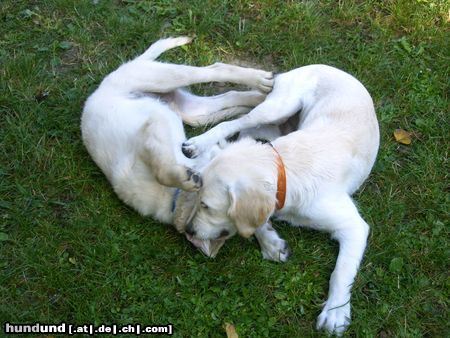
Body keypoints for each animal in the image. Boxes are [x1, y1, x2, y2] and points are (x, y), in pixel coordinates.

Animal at [80, 37, 274, 254]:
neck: (174, 199)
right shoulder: (155, 127)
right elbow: (162, 171)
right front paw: (186, 178)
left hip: (172, 90)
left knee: (220, 78)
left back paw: (260, 87)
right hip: (183, 100)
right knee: (220, 79)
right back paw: (258, 92)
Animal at [181, 64, 378, 334]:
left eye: (206, 206)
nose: (188, 231)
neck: (286, 168)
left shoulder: (354, 226)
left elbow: (342, 270)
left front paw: (336, 312)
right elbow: (256, 221)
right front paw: (271, 244)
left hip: (277, 118)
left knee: (242, 126)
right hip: (277, 109)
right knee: (237, 123)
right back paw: (200, 143)